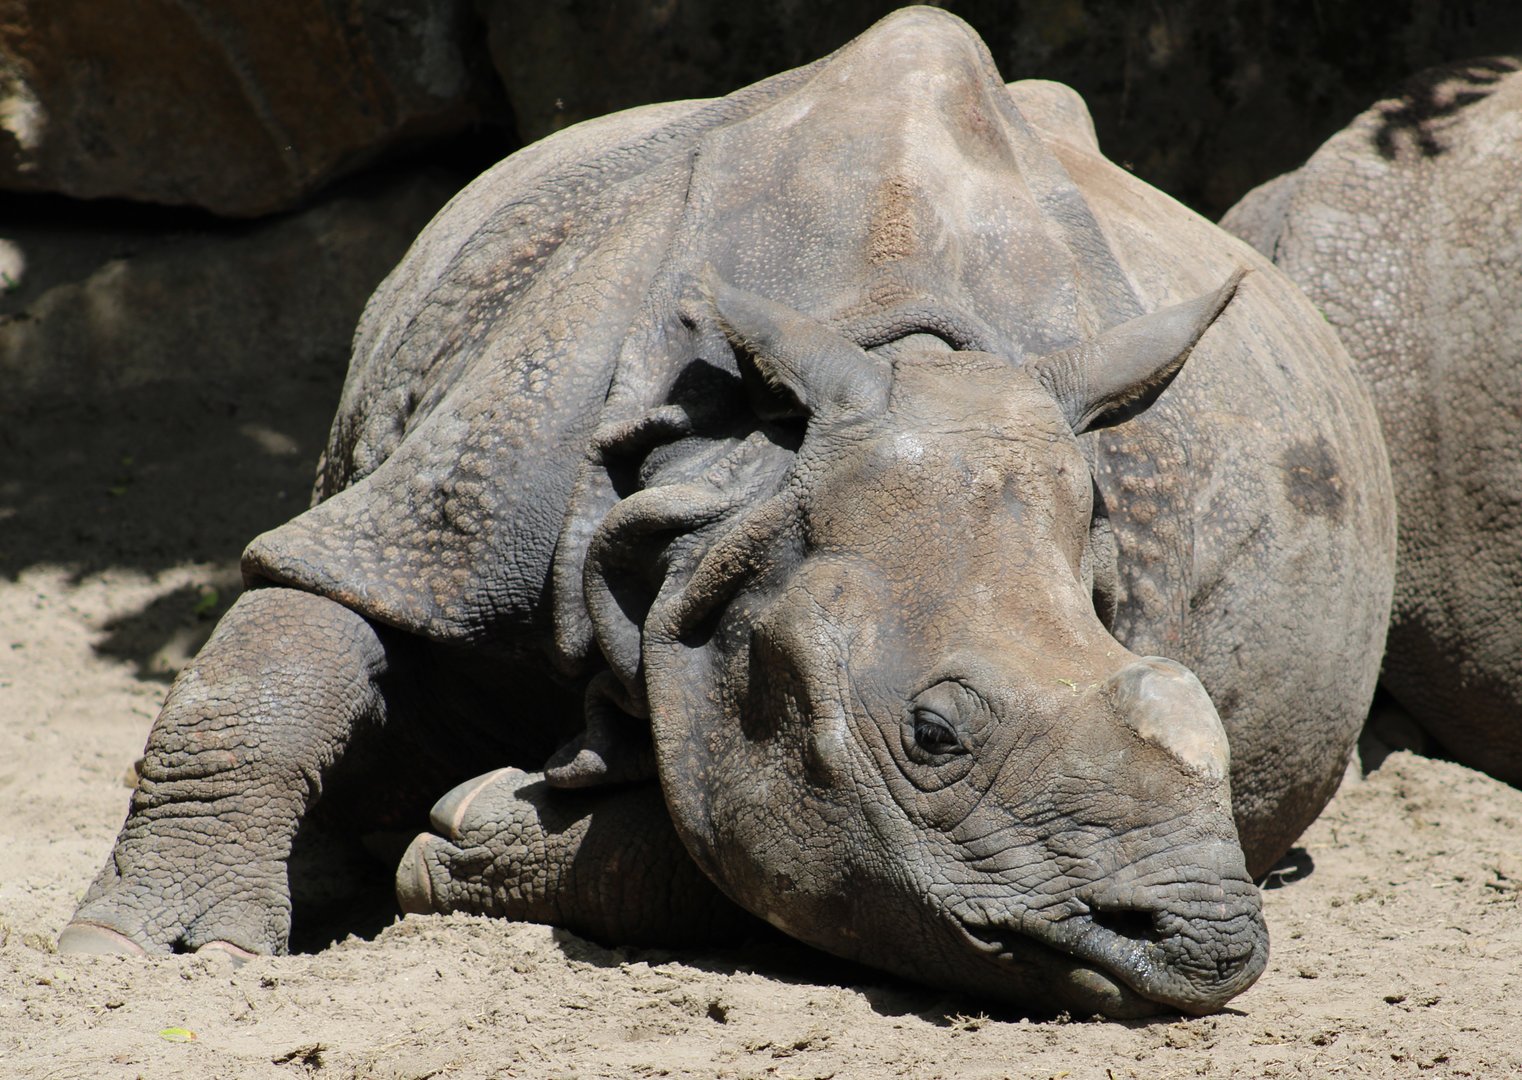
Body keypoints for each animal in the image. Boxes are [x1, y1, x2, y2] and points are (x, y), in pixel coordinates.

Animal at [60, 8, 1395, 1018]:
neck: (738, 489)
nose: (1204, 945)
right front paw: (157, 955)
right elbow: (287, 637)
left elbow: (737, 849)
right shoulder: (462, 498)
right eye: (932, 737)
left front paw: (474, 826)